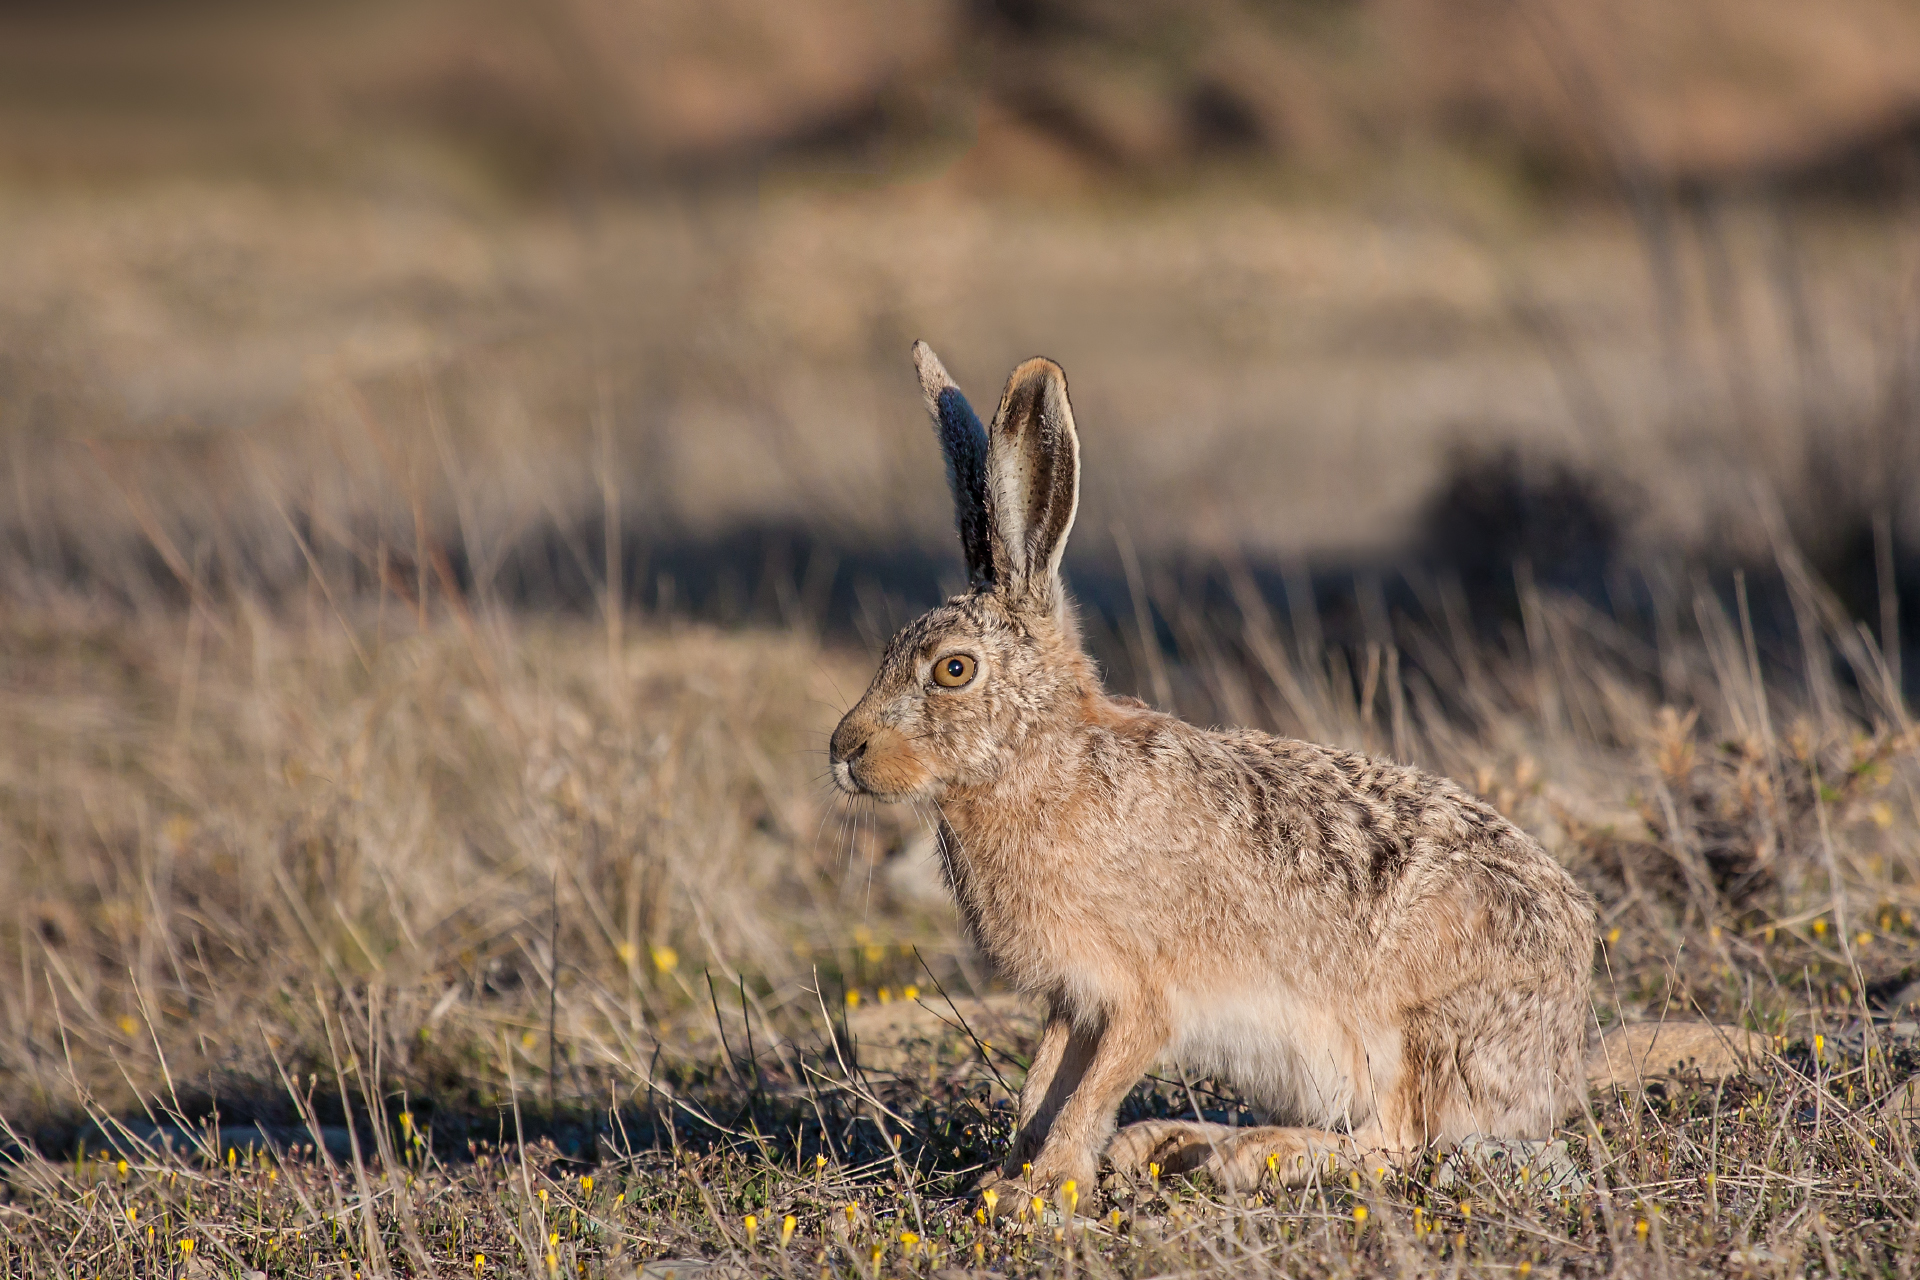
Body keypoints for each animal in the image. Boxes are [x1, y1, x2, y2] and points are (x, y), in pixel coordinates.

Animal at [829, 343, 1597, 1204]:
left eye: (953, 670)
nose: (844, 749)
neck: (1037, 759)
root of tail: (1558, 1040)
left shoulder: (1141, 996)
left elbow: (1088, 1091)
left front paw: (1041, 1193)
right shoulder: (1074, 998)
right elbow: (1043, 1086)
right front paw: (1006, 1177)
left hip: (1411, 1039)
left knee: (1395, 1145)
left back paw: (1228, 1153)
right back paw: (1168, 1143)